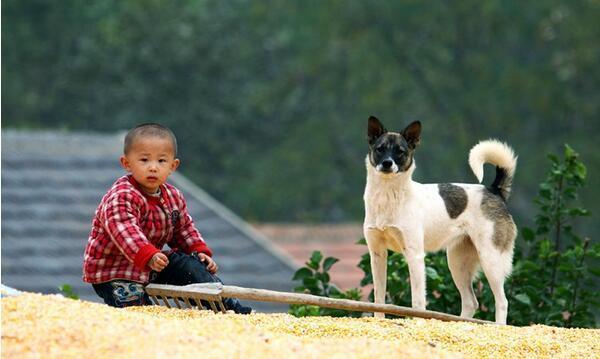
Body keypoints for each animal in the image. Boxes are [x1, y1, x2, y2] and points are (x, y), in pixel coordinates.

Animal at [364, 116, 516, 324]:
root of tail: (493, 190)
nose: (387, 163)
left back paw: (499, 326)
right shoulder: (377, 254)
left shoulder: (414, 255)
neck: (388, 196)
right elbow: (379, 298)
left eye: (400, 152)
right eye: (380, 149)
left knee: (502, 301)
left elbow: (417, 301)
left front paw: (418, 322)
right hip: (457, 262)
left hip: (490, 259)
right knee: (471, 302)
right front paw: (379, 320)